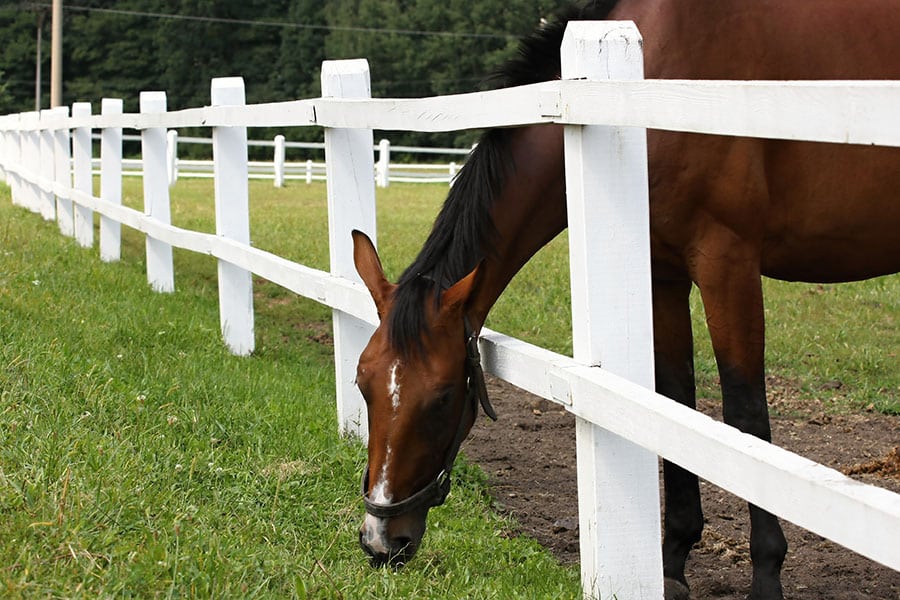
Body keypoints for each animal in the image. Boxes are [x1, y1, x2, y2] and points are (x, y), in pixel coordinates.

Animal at [351, 0, 900, 598]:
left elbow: (746, 416)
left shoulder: (727, 262)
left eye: (443, 398)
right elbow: (674, 401)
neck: (659, 76)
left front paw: (766, 576)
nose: (381, 541)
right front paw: (672, 562)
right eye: (363, 385)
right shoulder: (663, 275)